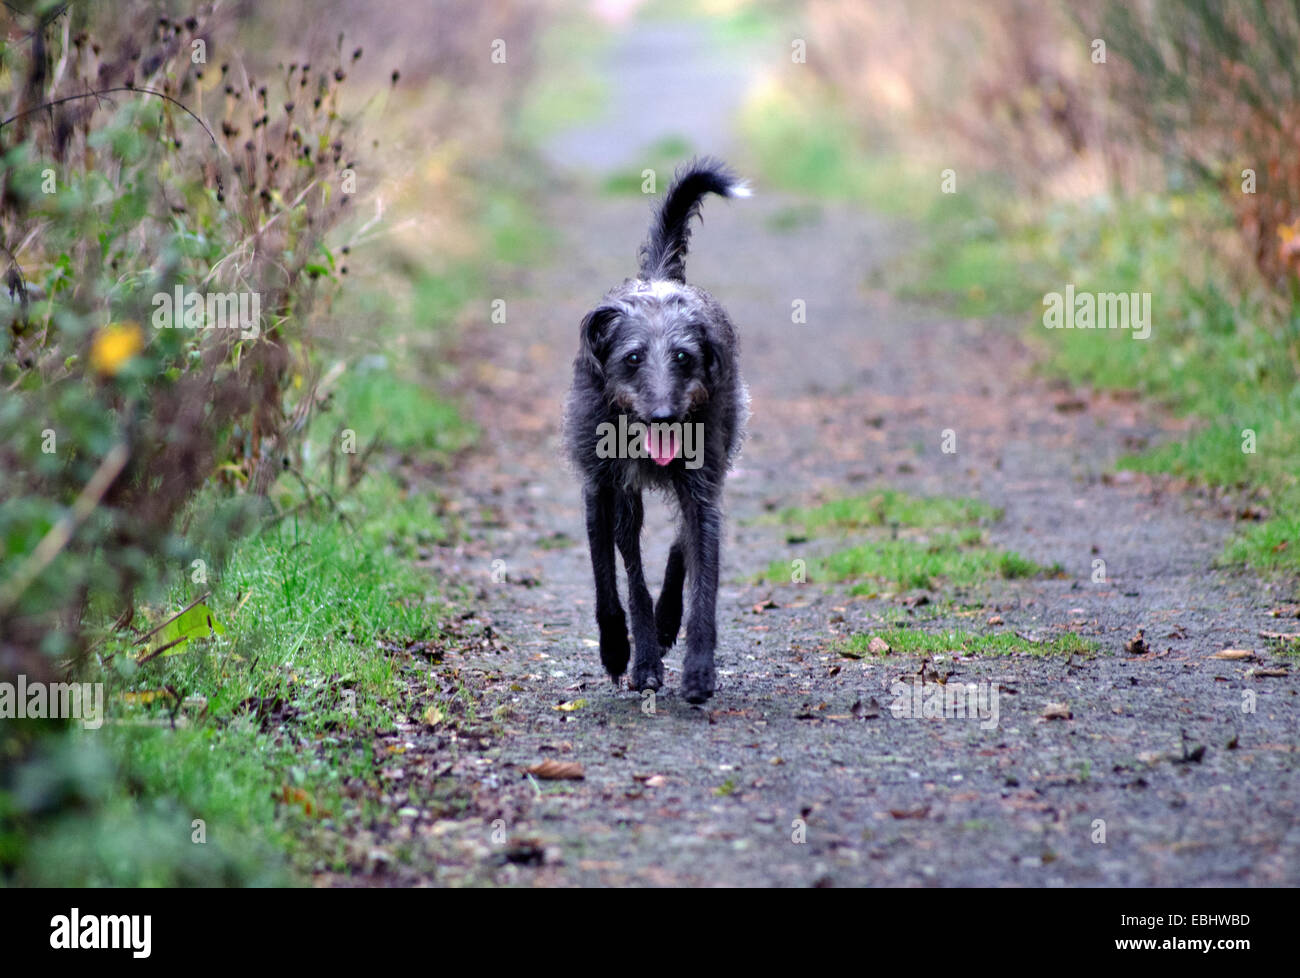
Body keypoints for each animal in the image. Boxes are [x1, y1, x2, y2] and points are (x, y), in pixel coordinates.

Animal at [561, 158, 754, 702]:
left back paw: (669, 621)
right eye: (632, 358)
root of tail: (660, 278)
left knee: (683, 542)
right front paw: (626, 654)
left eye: (684, 357)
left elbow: (704, 582)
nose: (666, 417)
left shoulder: (702, 488)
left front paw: (699, 669)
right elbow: (617, 579)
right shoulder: (604, 489)